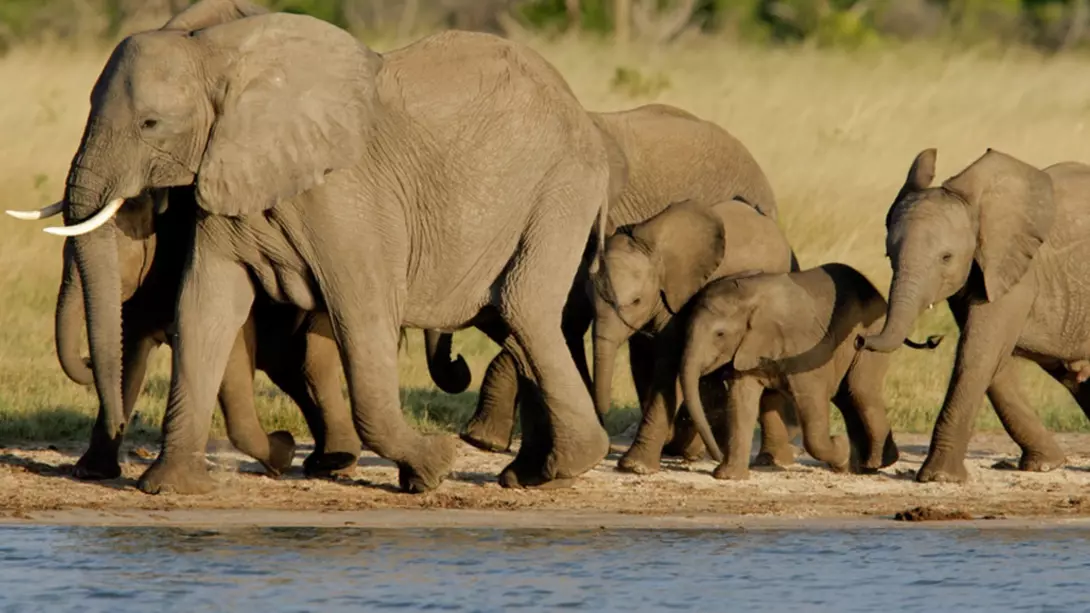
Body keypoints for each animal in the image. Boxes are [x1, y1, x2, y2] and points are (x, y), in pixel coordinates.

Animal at [12, 0, 616, 494]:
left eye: (150, 123)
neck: (216, 58)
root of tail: (580, 110)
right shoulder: (225, 179)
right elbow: (205, 309)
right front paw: (170, 486)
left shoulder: (347, 199)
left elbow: (363, 315)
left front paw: (433, 469)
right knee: (514, 322)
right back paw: (533, 474)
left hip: (560, 189)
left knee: (523, 308)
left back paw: (560, 467)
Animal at [591, 197, 799, 474]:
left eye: (635, 301)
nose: (603, 413)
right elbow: (645, 362)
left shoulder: (682, 296)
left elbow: (670, 367)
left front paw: (635, 466)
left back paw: (770, 460)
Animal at [680, 263, 937, 480]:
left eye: (720, 334)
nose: (714, 456)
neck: (750, 296)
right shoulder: (746, 348)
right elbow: (741, 400)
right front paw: (728, 476)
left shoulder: (802, 346)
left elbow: (811, 403)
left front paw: (840, 449)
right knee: (847, 397)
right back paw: (863, 466)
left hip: (870, 335)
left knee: (861, 391)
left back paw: (875, 464)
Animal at [858, 148, 1090, 483]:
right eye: (889, 255)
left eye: (946, 257)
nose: (860, 339)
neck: (979, 210)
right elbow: (992, 362)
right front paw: (1045, 465)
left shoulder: (1017, 274)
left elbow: (978, 353)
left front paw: (939, 478)